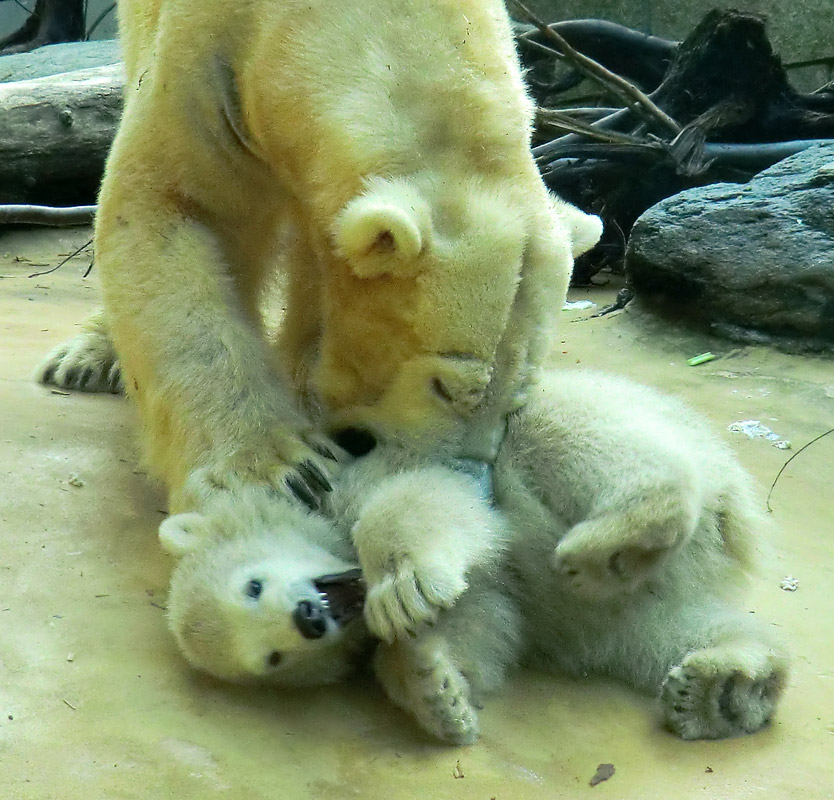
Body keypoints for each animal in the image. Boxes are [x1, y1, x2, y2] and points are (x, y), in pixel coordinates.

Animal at [48, 0, 600, 512]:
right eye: (443, 387)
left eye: (516, 400)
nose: (469, 483)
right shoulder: (210, 59)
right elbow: (171, 207)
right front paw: (281, 472)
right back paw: (90, 358)